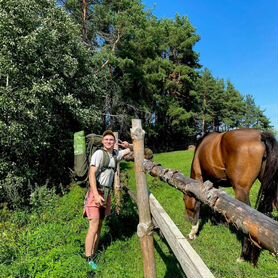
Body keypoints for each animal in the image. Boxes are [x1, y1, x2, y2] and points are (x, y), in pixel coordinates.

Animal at [185, 128, 278, 264]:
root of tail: (260, 135)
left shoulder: (199, 178)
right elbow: (214, 202)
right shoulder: (215, 182)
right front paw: (216, 221)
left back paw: (243, 256)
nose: (187, 219)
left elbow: (198, 204)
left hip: (241, 192)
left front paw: (193, 232)